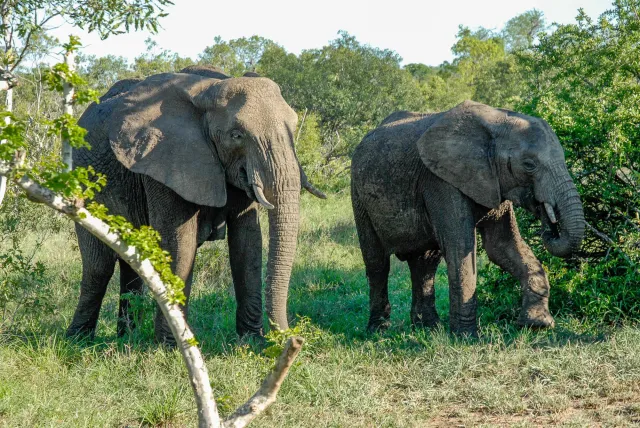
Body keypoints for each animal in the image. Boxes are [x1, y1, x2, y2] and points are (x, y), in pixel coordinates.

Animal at [69, 65, 324, 342]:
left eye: (293, 126)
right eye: (236, 135)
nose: (293, 338)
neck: (207, 92)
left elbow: (248, 243)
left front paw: (252, 342)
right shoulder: (163, 160)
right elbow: (180, 244)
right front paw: (171, 345)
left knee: (131, 262)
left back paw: (126, 337)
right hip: (83, 185)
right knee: (98, 266)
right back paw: (78, 340)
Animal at [350, 101, 584, 338]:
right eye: (529, 164)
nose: (550, 224)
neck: (498, 122)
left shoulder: (493, 180)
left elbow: (502, 246)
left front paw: (537, 324)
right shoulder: (441, 180)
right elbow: (460, 247)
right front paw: (466, 337)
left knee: (425, 265)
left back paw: (429, 328)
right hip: (358, 195)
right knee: (377, 263)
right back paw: (378, 331)